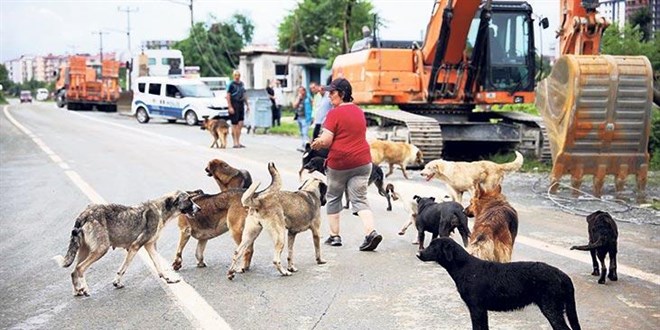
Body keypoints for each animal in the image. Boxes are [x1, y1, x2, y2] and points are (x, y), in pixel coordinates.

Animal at [53, 191, 200, 296]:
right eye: (189, 199)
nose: (199, 209)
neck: (161, 210)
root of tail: (85, 213)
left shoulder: (150, 246)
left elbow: (159, 266)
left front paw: (169, 279)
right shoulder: (135, 247)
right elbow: (123, 268)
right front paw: (117, 283)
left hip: (86, 250)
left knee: (74, 271)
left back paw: (78, 291)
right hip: (101, 249)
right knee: (80, 268)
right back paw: (84, 289)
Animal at [420, 238, 580, 330]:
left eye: (433, 246)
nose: (419, 253)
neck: (464, 267)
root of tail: (562, 274)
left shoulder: (476, 308)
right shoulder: (481, 309)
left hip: (551, 308)